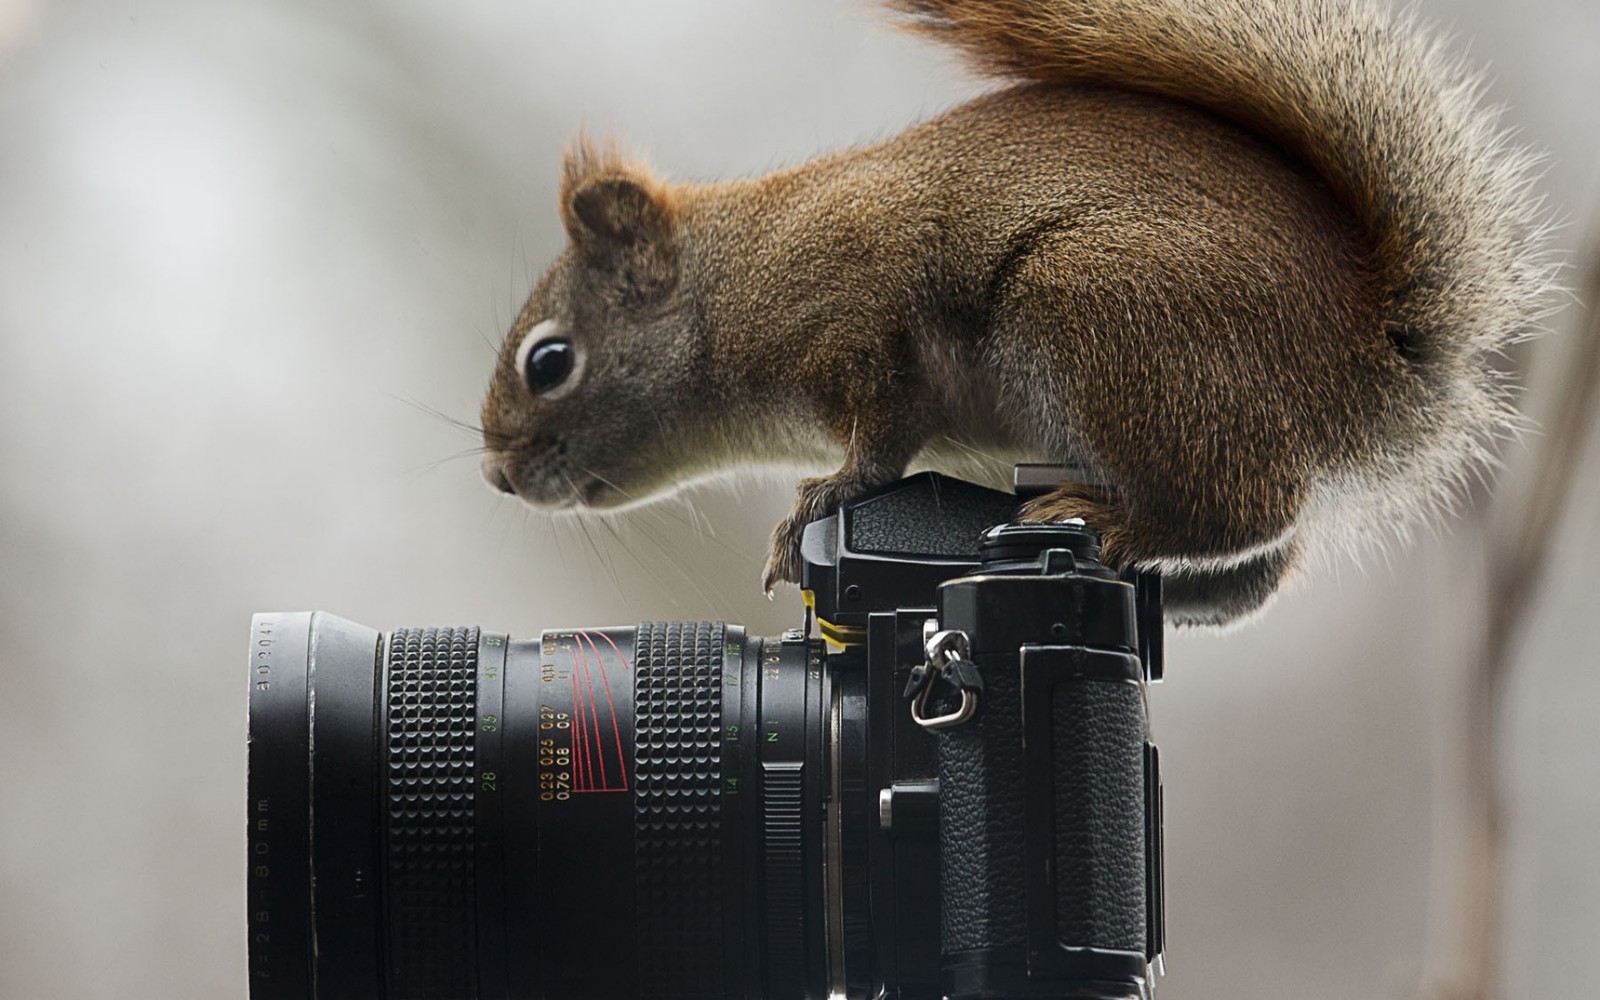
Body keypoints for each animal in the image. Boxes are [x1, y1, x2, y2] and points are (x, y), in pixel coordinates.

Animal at [480, 0, 1555, 624]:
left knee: (1240, 506)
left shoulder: (861, 317)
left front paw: (819, 505)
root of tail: (1376, 357)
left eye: (550, 361)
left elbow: (880, 441)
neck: (739, 280)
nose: (498, 476)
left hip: (1097, 315)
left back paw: (1109, 526)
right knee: (1259, 568)